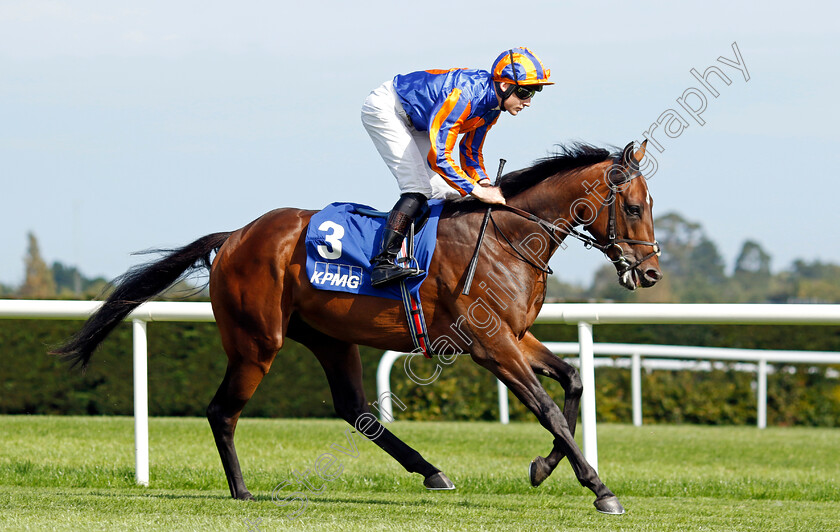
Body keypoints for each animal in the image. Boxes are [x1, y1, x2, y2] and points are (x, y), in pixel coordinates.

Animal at [52, 140, 664, 512]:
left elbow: (573, 384)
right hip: (257, 341)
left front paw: (543, 468)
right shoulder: (491, 345)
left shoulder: (515, 336)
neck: (507, 236)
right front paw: (600, 488)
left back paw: (431, 471)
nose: (650, 271)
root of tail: (234, 236)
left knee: (354, 409)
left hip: (330, 337)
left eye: (649, 204)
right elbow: (547, 408)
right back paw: (242, 491)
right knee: (222, 410)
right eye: (634, 207)